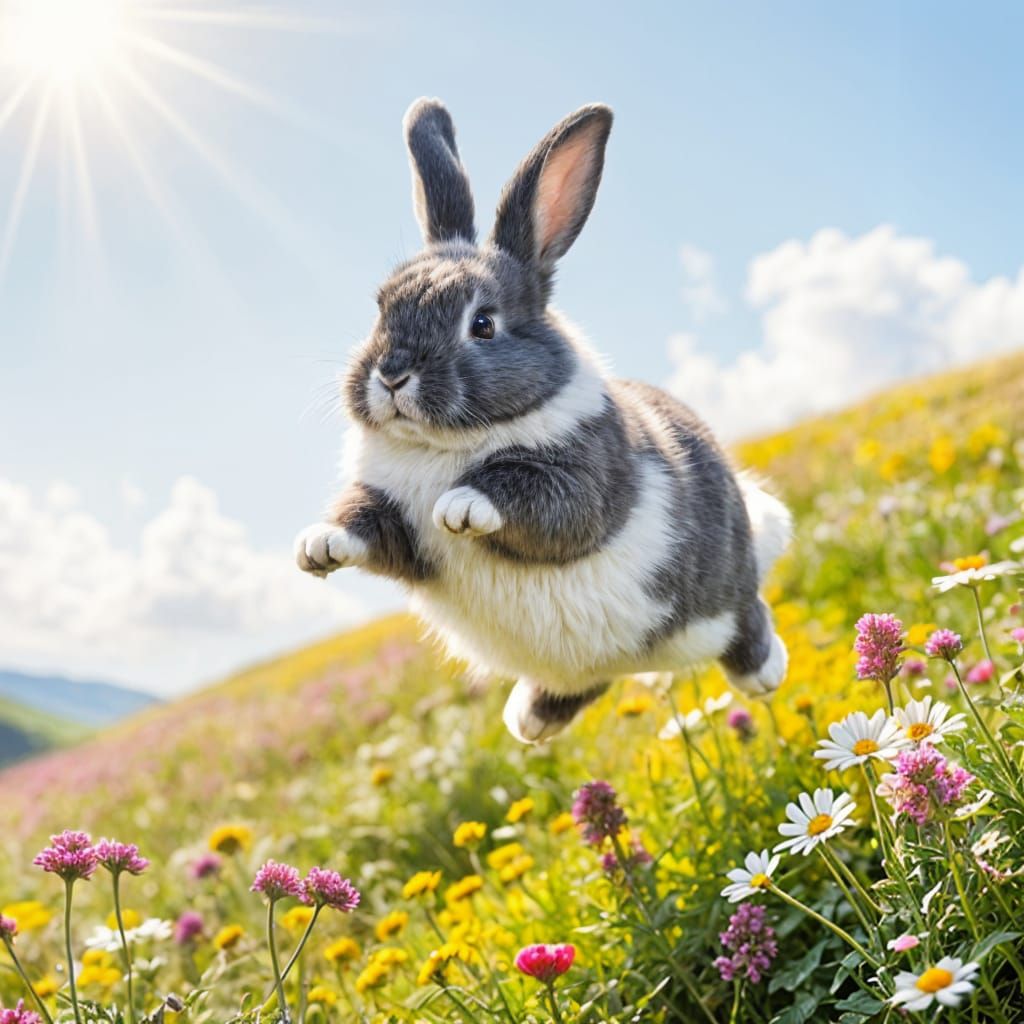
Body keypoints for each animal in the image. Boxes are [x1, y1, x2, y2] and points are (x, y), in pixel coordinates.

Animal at [295, 97, 792, 744]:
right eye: (380, 308)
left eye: (483, 324)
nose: (393, 375)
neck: (442, 445)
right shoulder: (391, 514)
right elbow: (366, 525)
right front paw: (318, 546)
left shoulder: (588, 479)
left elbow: (539, 499)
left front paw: (461, 507)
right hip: (586, 666)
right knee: (584, 684)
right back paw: (528, 721)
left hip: (720, 597)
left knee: (746, 617)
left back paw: (765, 674)